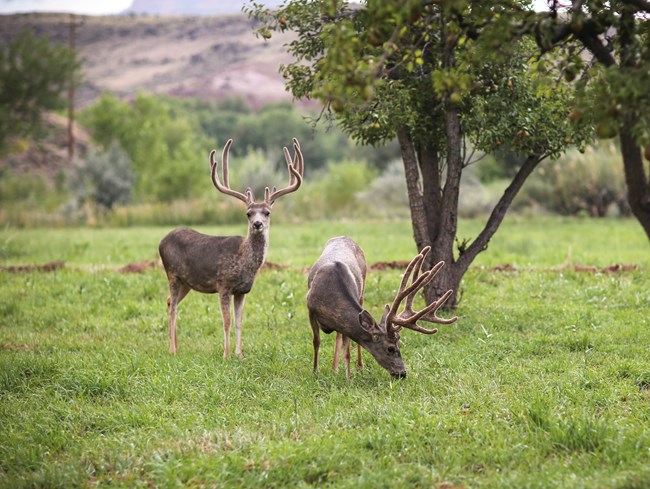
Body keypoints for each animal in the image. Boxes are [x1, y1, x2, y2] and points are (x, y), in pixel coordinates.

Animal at [161, 139, 306, 356]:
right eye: (248, 213)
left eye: (267, 212)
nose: (257, 224)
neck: (243, 261)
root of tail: (162, 240)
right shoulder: (223, 284)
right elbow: (227, 321)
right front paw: (226, 354)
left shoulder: (242, 291)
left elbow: (239, 322)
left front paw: (240, 354)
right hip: (172, 274)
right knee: (172, 307)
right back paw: (172, 350)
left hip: (186, 281)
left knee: (170, 301)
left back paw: (176, 345)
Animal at [306, 236, 454, 378]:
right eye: (390, 348)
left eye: (400, 345)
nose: (402, 373)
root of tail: (344, 237)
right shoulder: (310, 308)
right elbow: (316, 342)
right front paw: (315, 372)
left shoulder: (343, 322)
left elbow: (346, 351)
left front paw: (348, 378)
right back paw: (335, 369)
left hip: (363, 288)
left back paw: (357, 366)